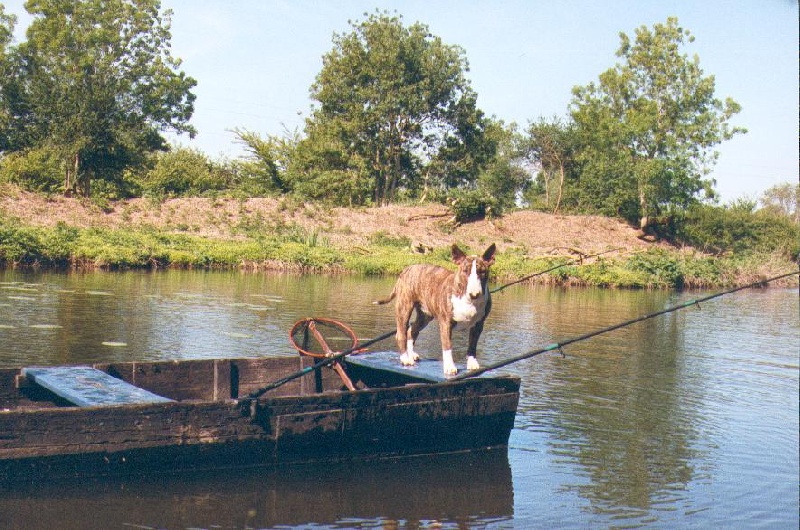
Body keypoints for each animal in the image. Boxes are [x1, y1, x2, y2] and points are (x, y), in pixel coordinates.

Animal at [374, 241, 496, 374]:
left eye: (482, 272)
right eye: (465, 271)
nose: (474, 294)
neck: (468, 301)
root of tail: (406, 269)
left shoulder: (479, 324)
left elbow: (472, 345)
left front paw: (472, 363)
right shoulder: (445, 323)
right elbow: (447, 346)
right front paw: (449, 367)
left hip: (425, 316)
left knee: (411, 330)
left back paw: (411, 355)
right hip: (404, 307)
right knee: (401, 334)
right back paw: (405, 359)